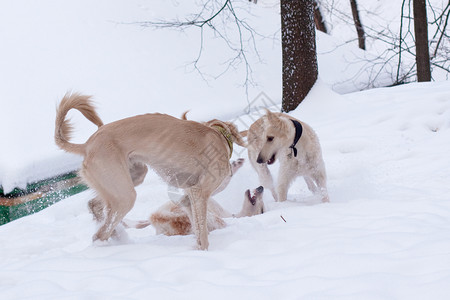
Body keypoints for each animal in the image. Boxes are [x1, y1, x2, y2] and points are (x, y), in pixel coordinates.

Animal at [56, 92, 248, 250]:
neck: (219, 136)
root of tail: (87, 145)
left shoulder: (188, 198)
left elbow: (198, 228)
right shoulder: (199, 192)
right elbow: (203, 232)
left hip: (129, 179)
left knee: (94, 206)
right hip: (125, 194)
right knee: (99, 234)